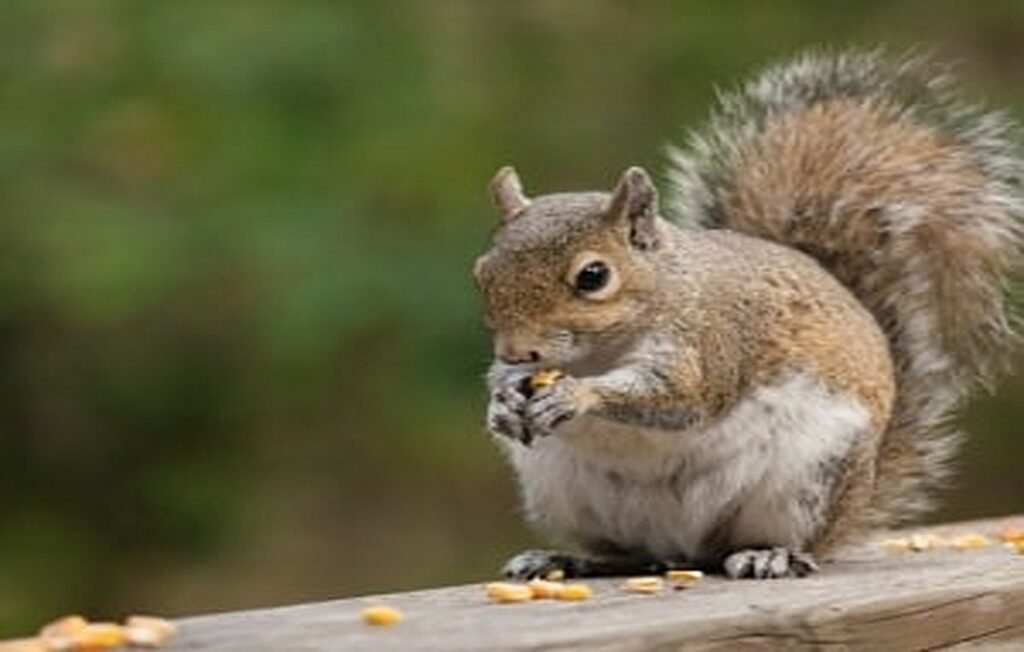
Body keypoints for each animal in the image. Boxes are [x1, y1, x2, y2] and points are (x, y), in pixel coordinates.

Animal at [472, 51, 1024, 580]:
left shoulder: (711, 343)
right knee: (635, 555)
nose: (516, 352)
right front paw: (502, 401)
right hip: (565, 492)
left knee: (774, 542)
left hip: (810, 480)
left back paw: (768, 555)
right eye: (482, 272)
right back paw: (567, 560)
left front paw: (576, 395)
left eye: (593, 276)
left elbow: (680, 397)